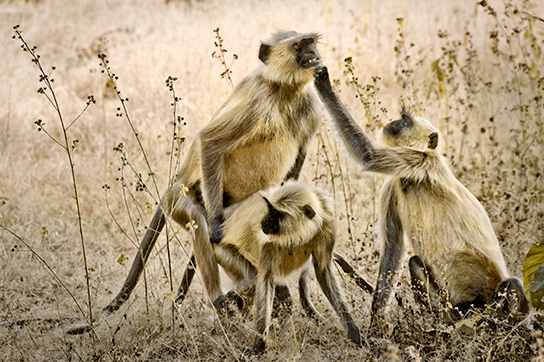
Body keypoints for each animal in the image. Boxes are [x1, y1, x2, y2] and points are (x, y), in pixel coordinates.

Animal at [103, 31, 328, 314]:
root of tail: (176, 180)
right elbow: (210, 141)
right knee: (198, 217)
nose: (314, 55)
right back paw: (219, 295)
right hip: (182, 196)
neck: (285, 90)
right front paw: (217, 230)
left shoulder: (312, 108)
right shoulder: (257, 100)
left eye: (311, 43)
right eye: (299, 46)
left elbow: (298, 160)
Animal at [181, 181, 364, 354]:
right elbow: (265, 277)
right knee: (253, 282)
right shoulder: (267, 241)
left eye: (278, 214)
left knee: (283, 298)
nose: (264, 221)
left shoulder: (327, 223)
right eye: (269, 208)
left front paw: (355, 334)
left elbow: (323, 271)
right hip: (222, 250)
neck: (301, 231)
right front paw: (258, 346)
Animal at [312, 66, 528, 328]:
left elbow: (368, 155)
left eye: (405, 122)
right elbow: (393, 246)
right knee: (416, 262)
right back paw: (443, 322)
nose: (392, 123)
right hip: (451, 301)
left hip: (491, 294)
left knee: (512, 284)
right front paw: (376, 321)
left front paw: (324, 84)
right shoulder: (395, 183)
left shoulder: (415, 160)